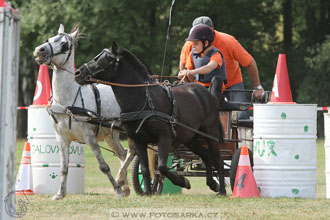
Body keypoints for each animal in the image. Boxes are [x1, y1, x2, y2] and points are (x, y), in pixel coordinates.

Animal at [75, 42, 227, 195]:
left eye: (103, 59)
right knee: (206, 157)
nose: (78, 73)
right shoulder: (138, 140)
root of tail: (208, 94)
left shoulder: (164, 137)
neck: (144, 99)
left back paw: (222, 190)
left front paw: (183, 181)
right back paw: (213, 184)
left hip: (210, 133)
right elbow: (145, 169)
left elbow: (162, 167)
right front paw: (148, 192)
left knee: (218, 160)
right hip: (191, 139)